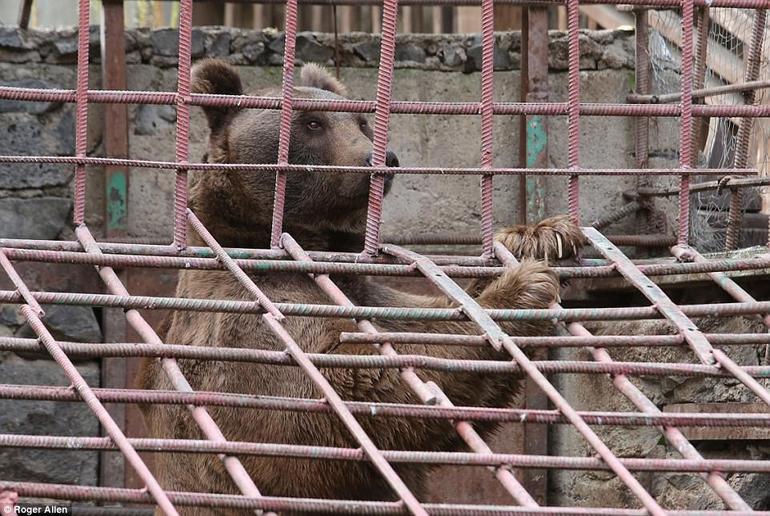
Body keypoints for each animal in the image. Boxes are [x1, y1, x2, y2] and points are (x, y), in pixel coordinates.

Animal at [138, 58, 584, 512]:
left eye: (362, 121)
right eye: (312, 123)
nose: (382, 158)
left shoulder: (366, 292)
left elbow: (425, 316)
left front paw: (541, 238)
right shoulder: (246, 327)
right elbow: (352, 386)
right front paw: (522, 287)